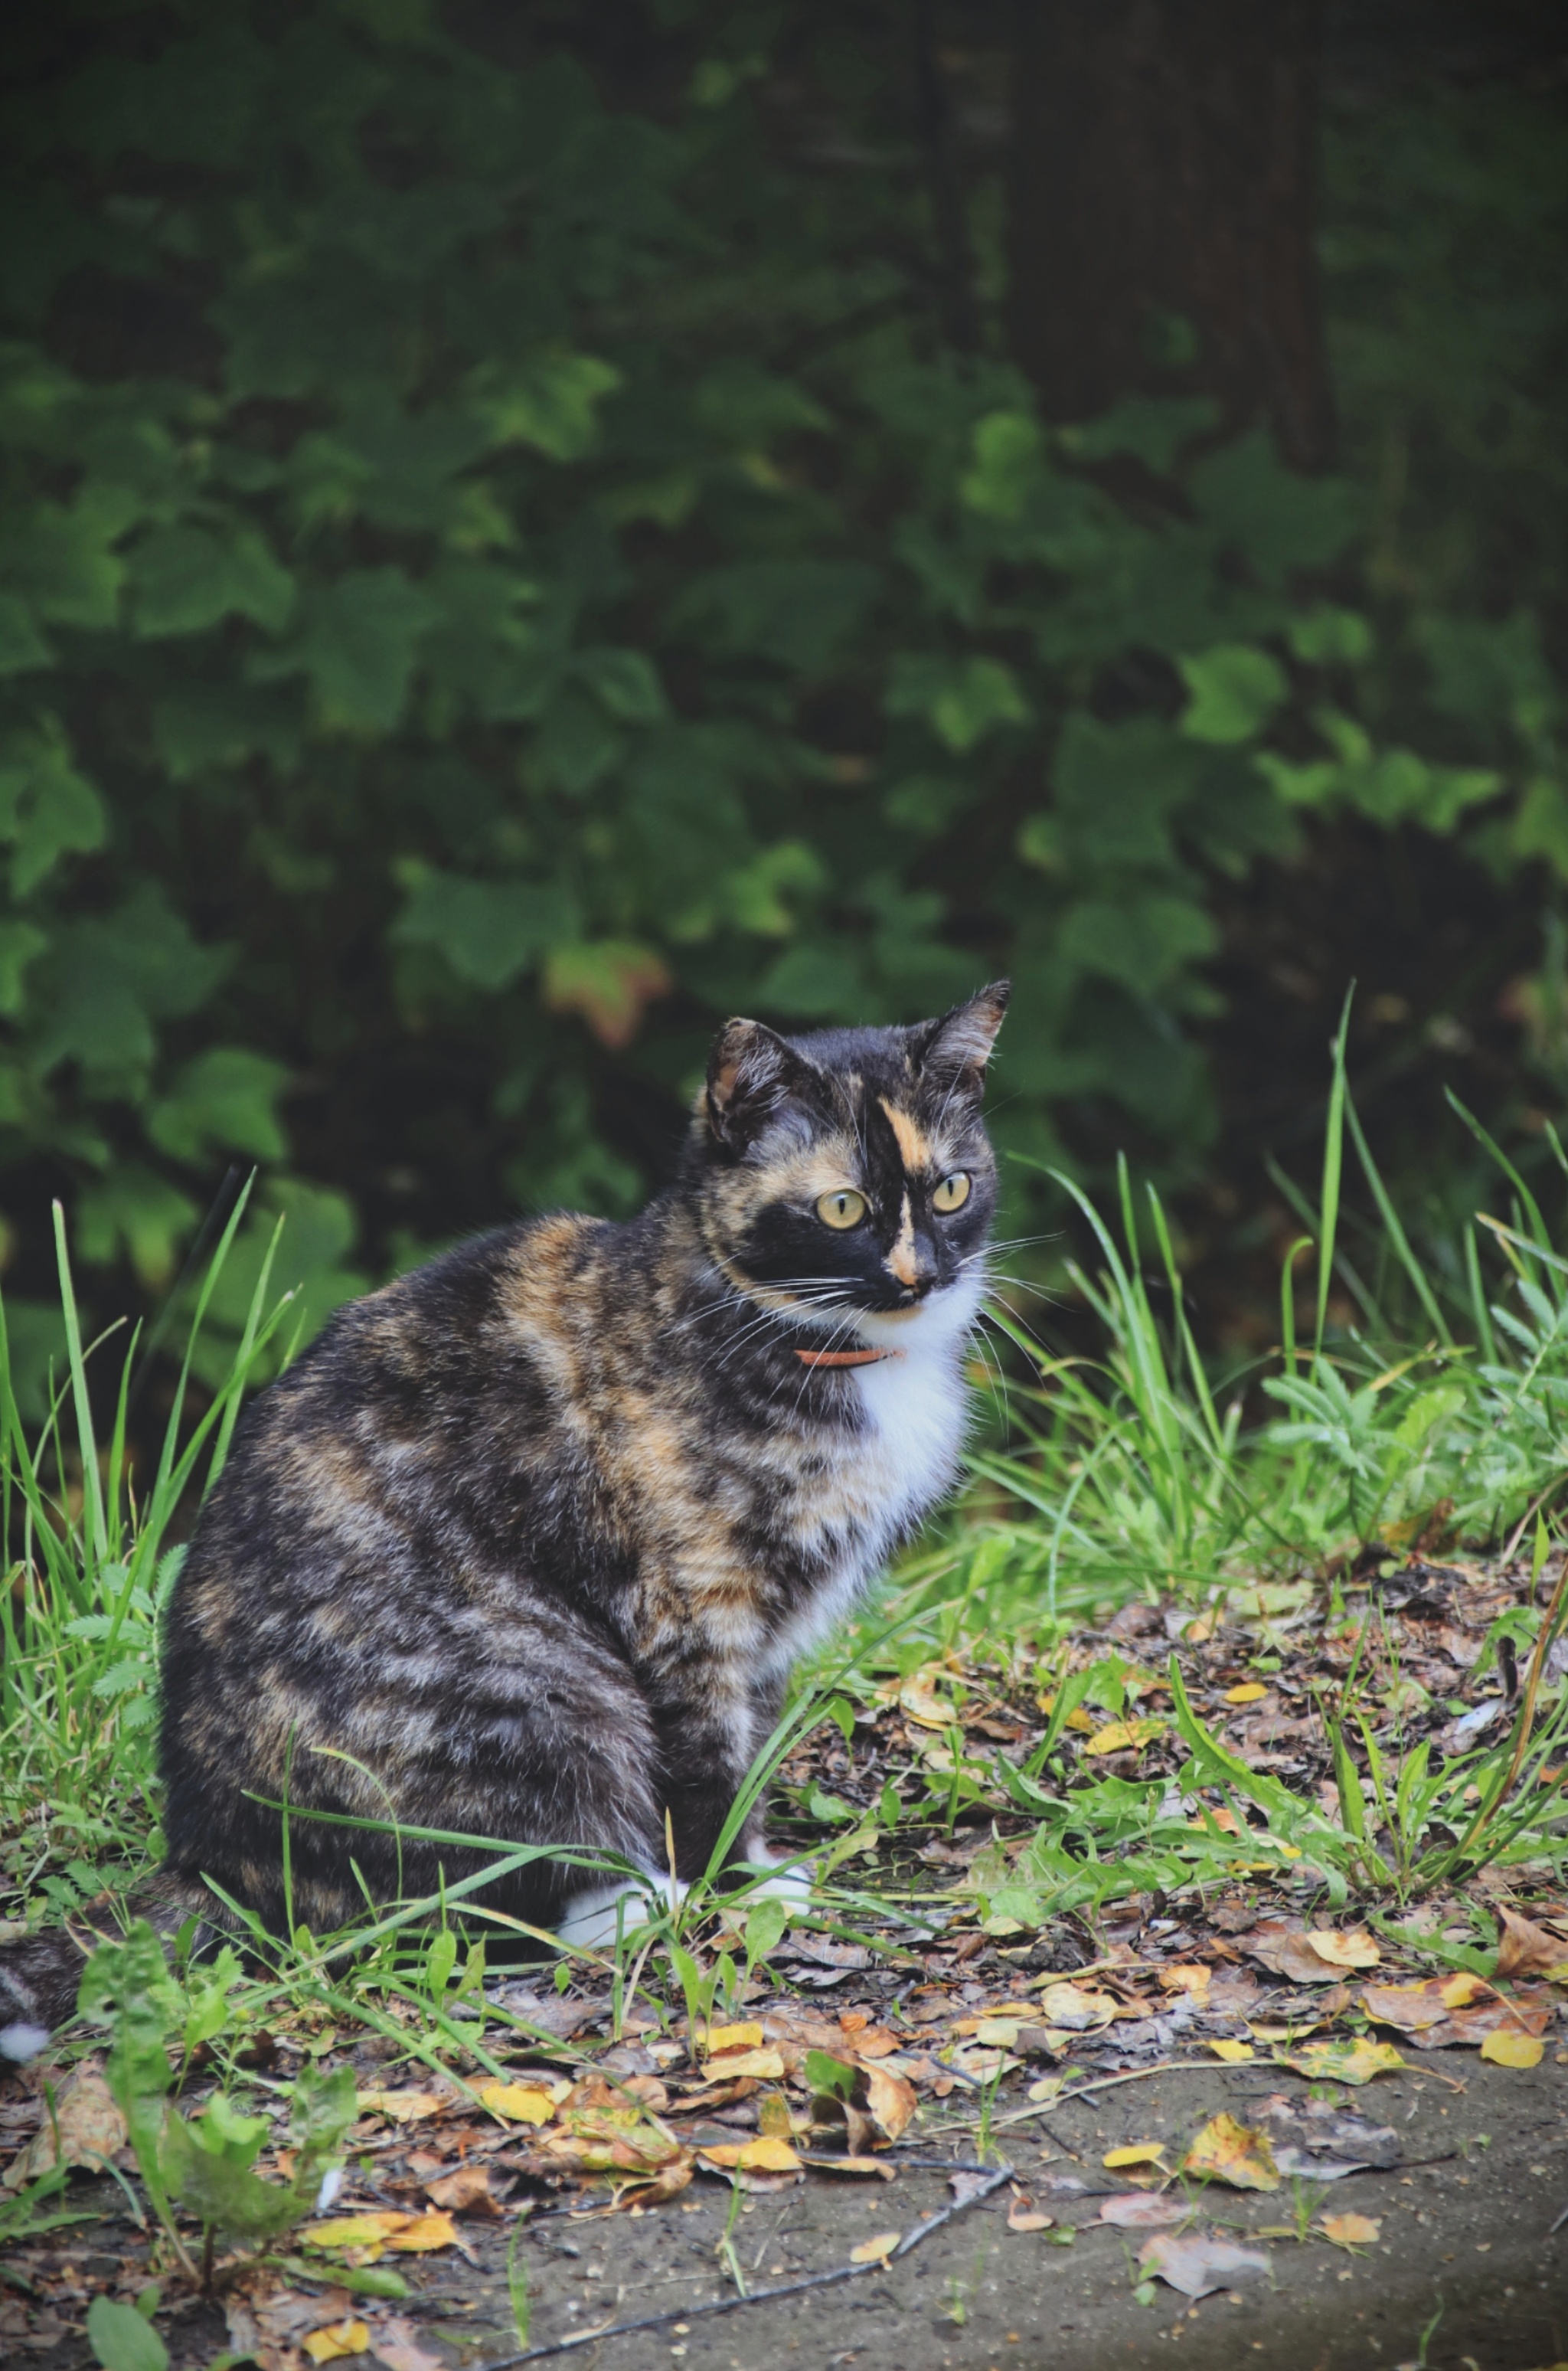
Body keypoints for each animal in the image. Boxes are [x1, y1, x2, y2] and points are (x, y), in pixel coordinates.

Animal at [0, 972, 1001, 2048]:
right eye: (841, 1206)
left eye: (950, 1188)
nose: (919, 1273)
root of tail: (214, 1858)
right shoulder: (690, 1605)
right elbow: (706, 1767)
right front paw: (735, 1888)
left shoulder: (763, 1637)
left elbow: (754, 1745)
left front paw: (757, 1862)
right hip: (543, 1691)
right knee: (450, 1904)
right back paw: (636, 1902)